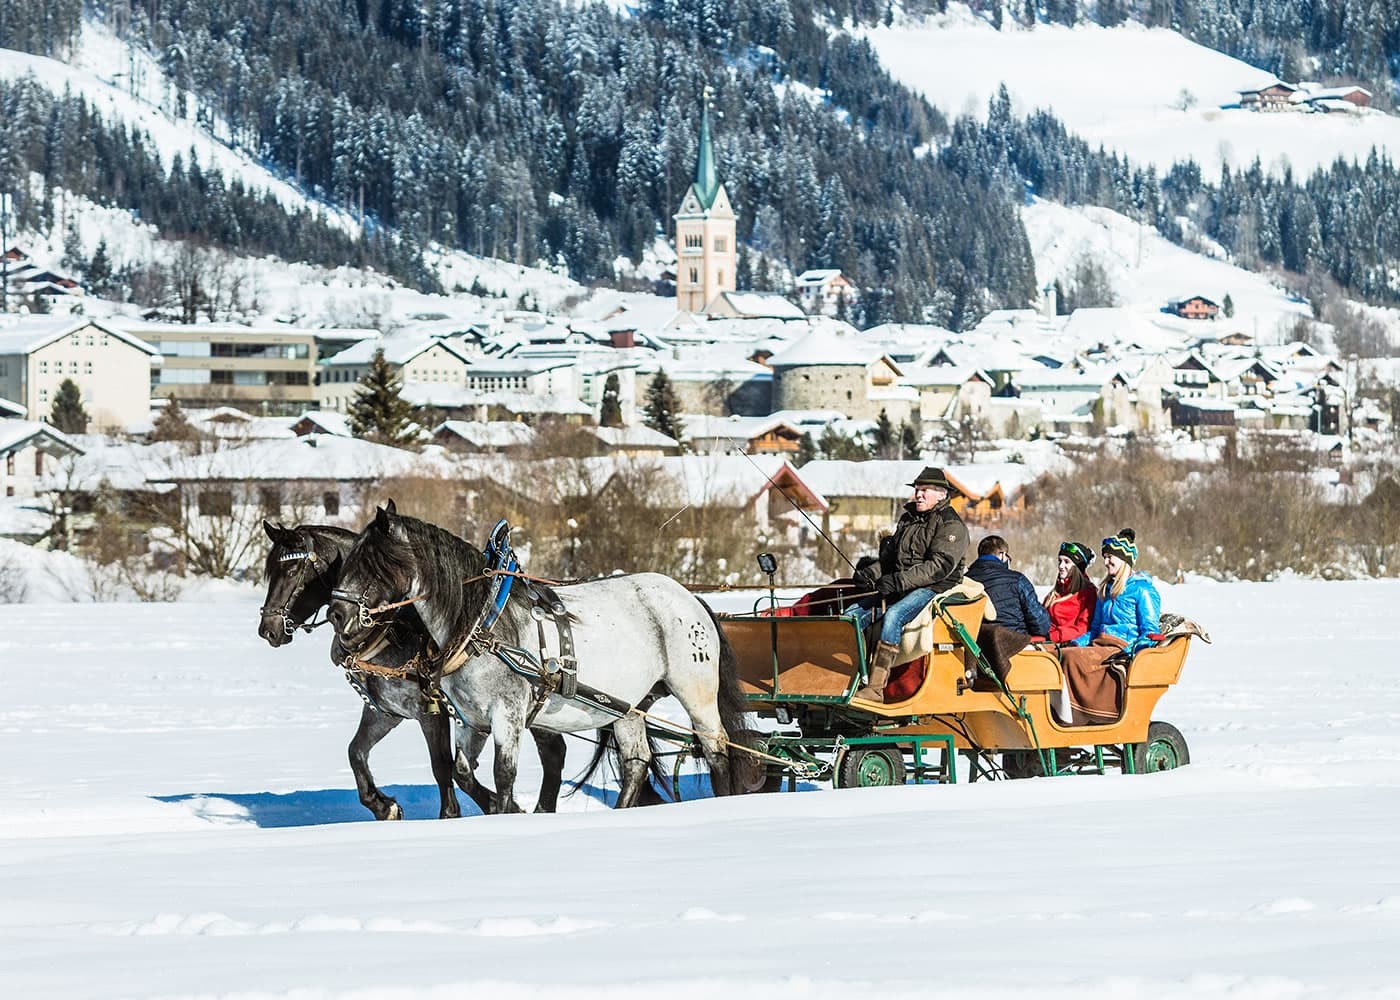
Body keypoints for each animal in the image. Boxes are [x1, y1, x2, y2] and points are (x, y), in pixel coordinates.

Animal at [257, 521, 570, 819]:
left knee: (552, 753)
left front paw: (457, 812)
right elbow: (355, 752)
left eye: (293, 569)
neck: (392, 628)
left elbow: (442, 766)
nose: (267, 630)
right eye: (271, 570)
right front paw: (383, 807)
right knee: (554, 752)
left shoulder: (432, 711)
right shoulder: (385, 712)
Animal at [326, 502, 747, 813]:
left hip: (695, 691)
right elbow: (461, 772)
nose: (337, 615)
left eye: (372, 565)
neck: (480, 623)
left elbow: (503, 774)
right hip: (629, 706)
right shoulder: (470, 720)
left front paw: (508, 812)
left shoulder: (507, 714)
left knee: (716, 749)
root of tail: (691, 598)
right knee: (636, 762)